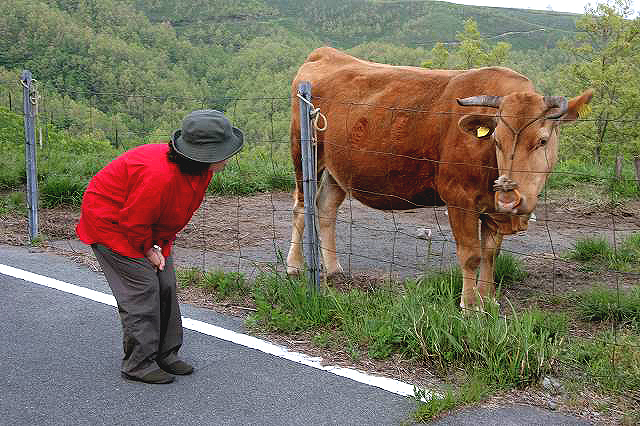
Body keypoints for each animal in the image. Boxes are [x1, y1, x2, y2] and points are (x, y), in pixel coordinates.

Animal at [288, 47, 592, 310]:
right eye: (497, 141)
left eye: (542, 141)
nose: (509, 197)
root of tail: (326, 53)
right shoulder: (458, 197)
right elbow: (471, 255)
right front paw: (470, 306)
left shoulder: (492, 208)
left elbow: (490, 253)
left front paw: (488, 299)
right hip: (304, 152)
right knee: (302, 208)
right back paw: (294, 266)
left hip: (338, 168)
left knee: (326, 207)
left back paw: (334, 270)